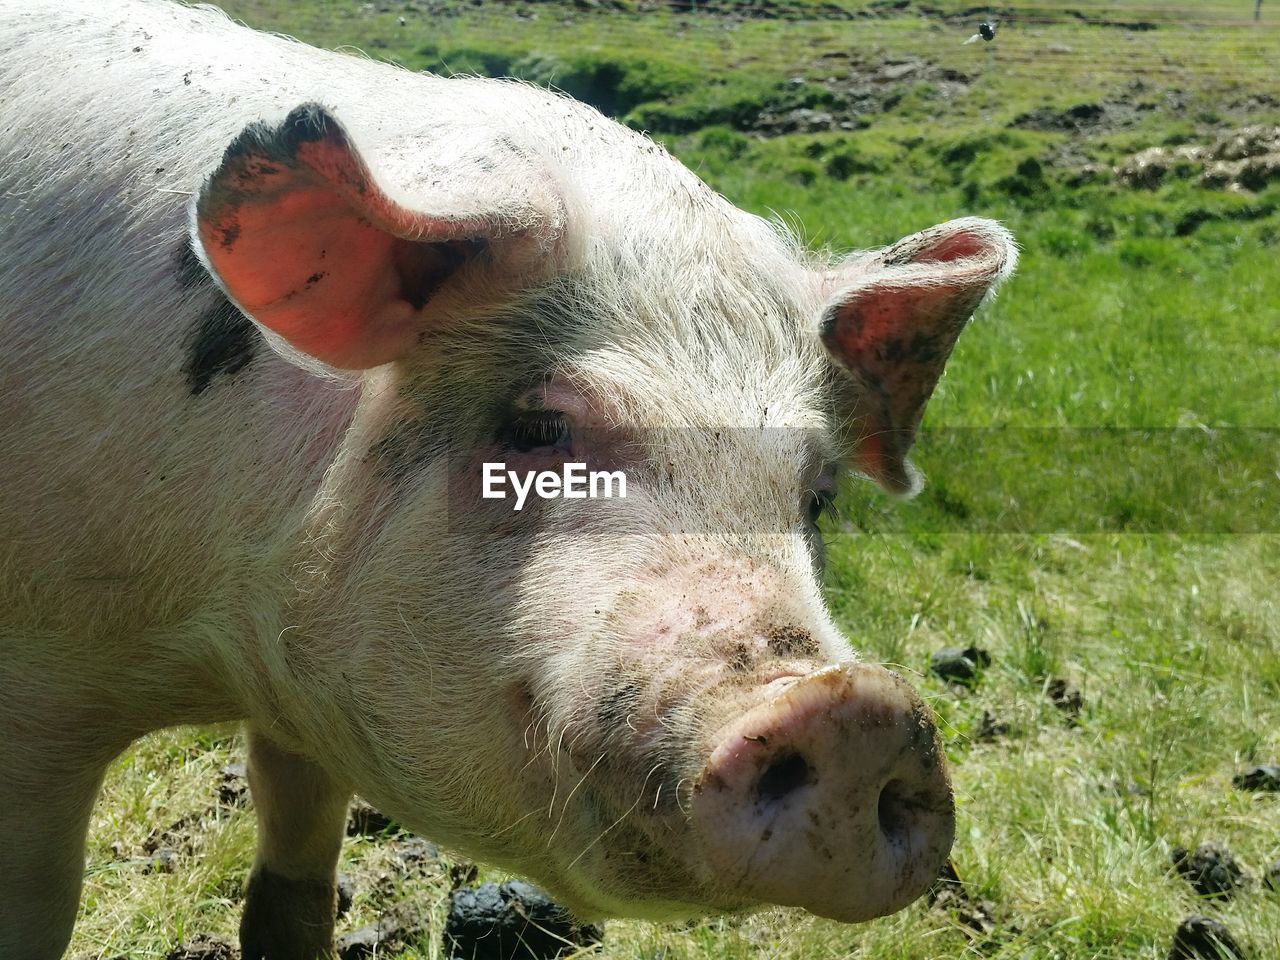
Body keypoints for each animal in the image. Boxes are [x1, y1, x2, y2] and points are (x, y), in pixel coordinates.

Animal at [2, 1, 1018, 960]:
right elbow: (41, 909)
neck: (215, 645)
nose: (856, 711)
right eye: (535, 428)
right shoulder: (39, 687)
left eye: (817, 495)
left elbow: (297, 878)